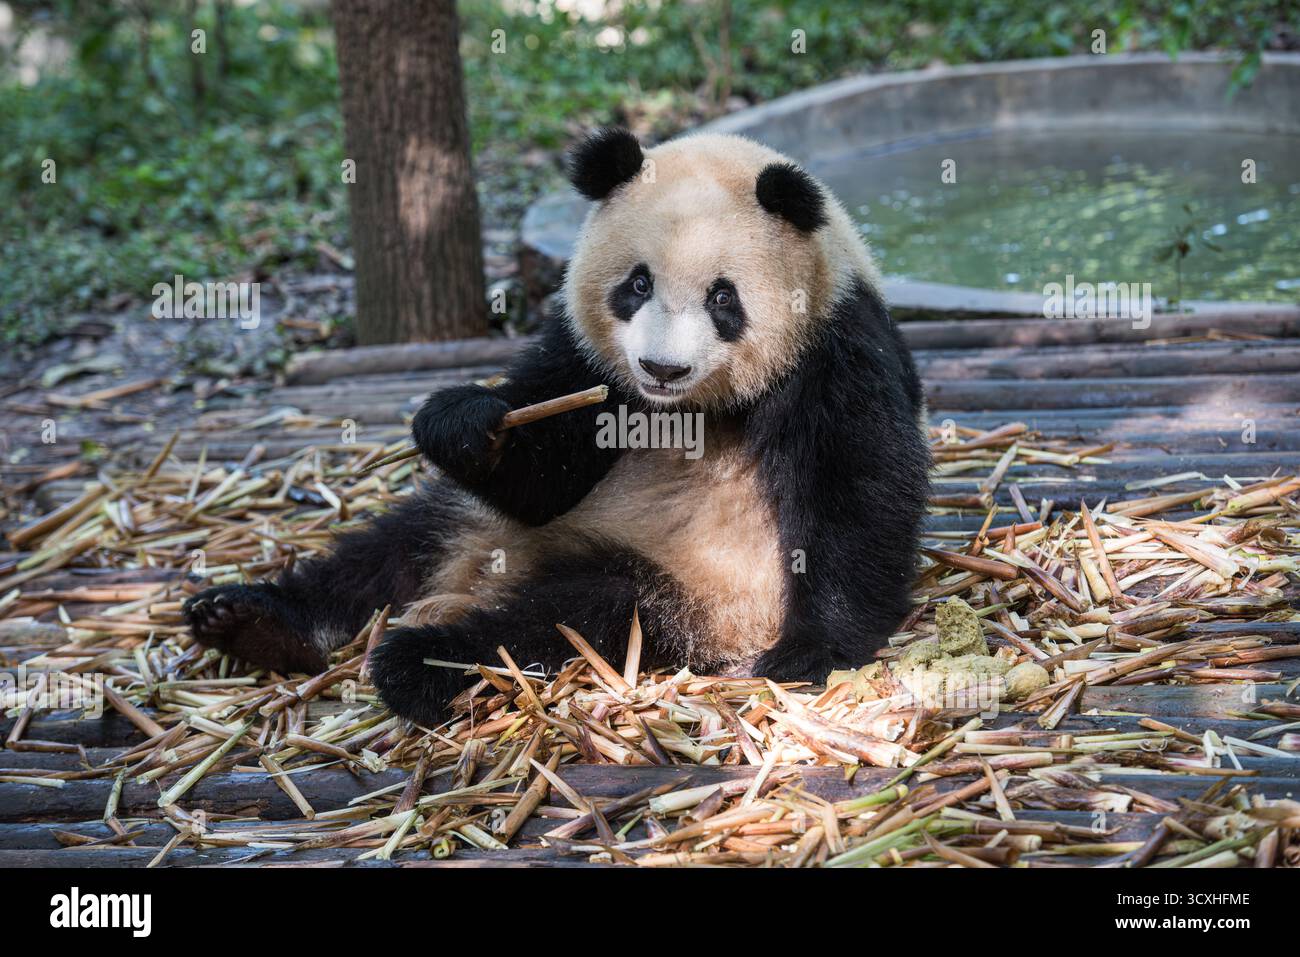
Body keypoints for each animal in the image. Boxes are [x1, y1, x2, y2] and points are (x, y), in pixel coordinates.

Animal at [183, 129, 932, 727]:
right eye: (636, 284)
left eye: (724, 298)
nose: (661, 367)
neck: (688, 410)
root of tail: (480, 572)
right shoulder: (587, 360)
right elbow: (546, 468)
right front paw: (462, 424)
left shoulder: (837, 350)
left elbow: (853, 496)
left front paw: (811, 651)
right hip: (474, 523)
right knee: (389, 548)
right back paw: (249, 620)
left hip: (700, 589)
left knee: (576, 617)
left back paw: (422, 661)